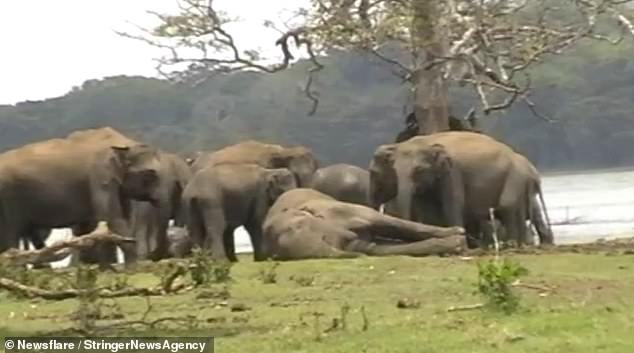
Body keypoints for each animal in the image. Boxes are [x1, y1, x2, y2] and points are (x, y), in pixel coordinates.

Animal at [0, 126, 160, 266]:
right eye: (150, 173)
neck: (123, 142)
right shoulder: (100, 175)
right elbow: (111, 217)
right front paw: (131, 268)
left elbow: (118, 218)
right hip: (8, 198)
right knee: (11, 236)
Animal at [258, 188, 464, 260]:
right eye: (325, 239)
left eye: (303, 222)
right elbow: (377, 248)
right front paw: (456, 244)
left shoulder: (339, 210)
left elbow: (386, 221)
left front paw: (458, 233)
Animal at [368, 131, 552, 246]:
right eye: (393, 170)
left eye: (418, 170)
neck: (426, 141)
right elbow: (427, 210)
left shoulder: (452, 173)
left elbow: (453, 204)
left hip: (515, 177)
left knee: (507, 206)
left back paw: (513, 245)